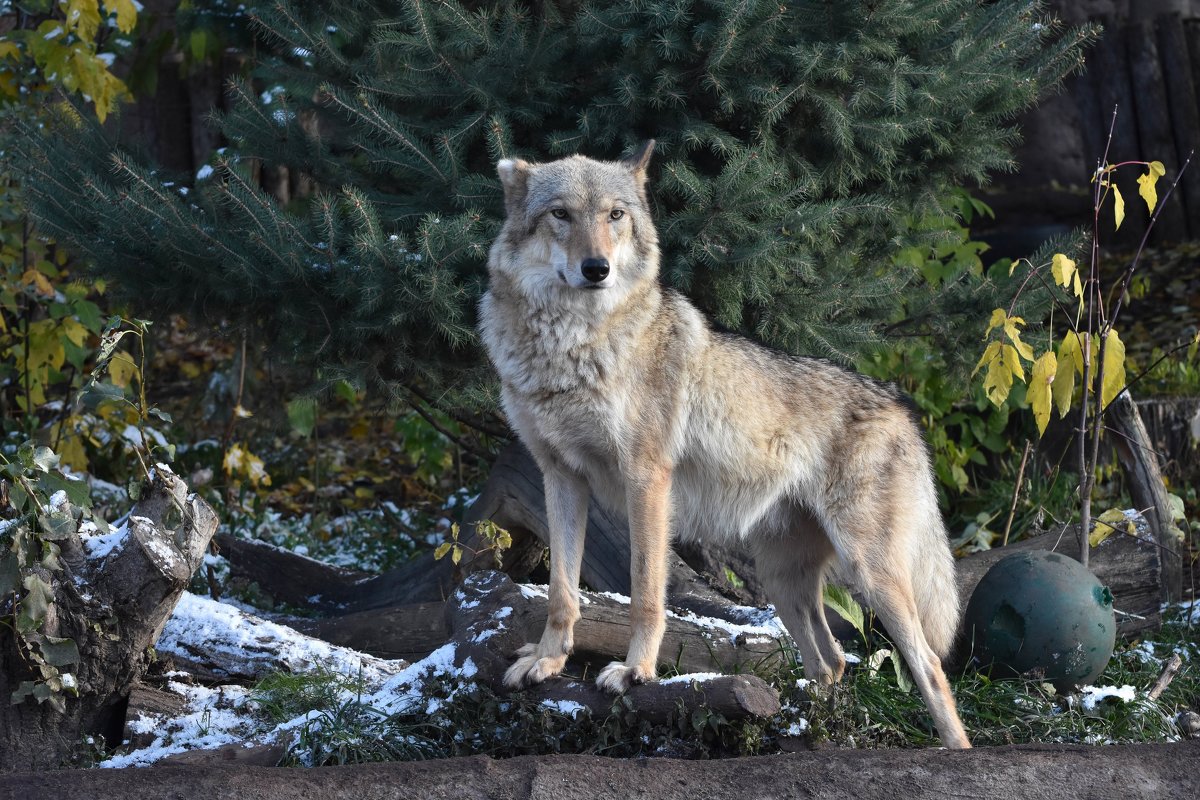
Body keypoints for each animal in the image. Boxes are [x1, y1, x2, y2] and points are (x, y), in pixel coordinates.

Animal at [472, 140, 969, 748]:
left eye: (615, 215)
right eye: (561, 214)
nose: (597, 269)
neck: (570, 346)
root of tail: (901, 406)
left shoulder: (647, 479)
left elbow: (645, 593)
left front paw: (635, 672)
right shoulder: (560, 477)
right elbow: (561, 592)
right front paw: (547, 662)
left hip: (870, 575)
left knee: (929, 666)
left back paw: (954, 750)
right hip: (783, 583)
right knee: (832, 662)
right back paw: (805, 731)